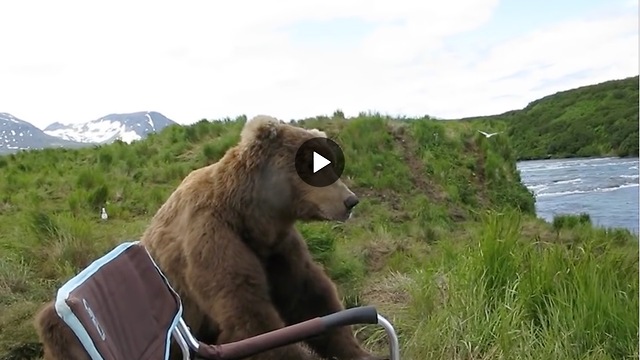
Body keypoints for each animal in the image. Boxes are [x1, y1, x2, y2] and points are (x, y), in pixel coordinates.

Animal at [35, 116, 384, 360]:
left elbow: (310, 298)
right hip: (64, 330)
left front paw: (358, 350)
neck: (250, 216)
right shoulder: (211, 238)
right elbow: (250, 317)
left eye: (332, 162)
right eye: (315, 165)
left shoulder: (276, 248)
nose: (350, 201)